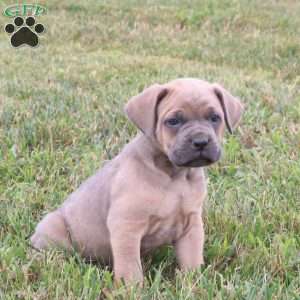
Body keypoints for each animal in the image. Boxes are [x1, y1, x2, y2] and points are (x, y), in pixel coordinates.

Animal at [30, 77, 243, 284]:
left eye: (215, 118)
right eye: (173, 121)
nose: (200, 141)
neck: (174, 175)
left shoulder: (191, 226)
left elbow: (191, 260)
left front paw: (194, 284)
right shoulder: (126, 226)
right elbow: (130, 268)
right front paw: (130, 289)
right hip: (53, 229)